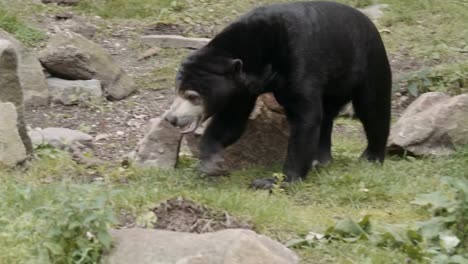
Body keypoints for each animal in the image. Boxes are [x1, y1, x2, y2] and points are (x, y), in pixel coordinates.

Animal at [164, 0, 392, 190]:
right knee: (328, 116)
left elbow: (306, 118)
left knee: (373, 108)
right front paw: (211, 163)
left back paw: (370, 158)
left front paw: (275, 181)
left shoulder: (300, 62)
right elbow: (231, 121)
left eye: (192, 96)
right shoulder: (241, 89)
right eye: (177, 91)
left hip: (368, 62)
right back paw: (321, 160)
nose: (172, 118)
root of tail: (369, 23)